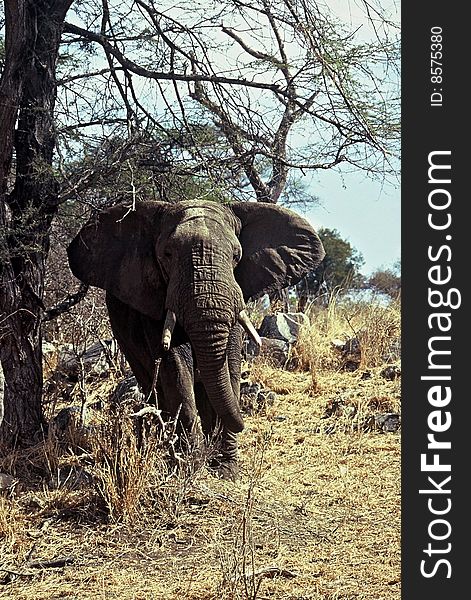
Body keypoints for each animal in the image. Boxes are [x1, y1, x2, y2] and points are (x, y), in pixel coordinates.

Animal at [67, 199, 324, 480]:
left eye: (236, 256)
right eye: (167, 255)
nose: (243, 424)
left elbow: (229, 366)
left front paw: (225, 470)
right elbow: (176, 369)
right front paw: (191, 466)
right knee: (153, 386)